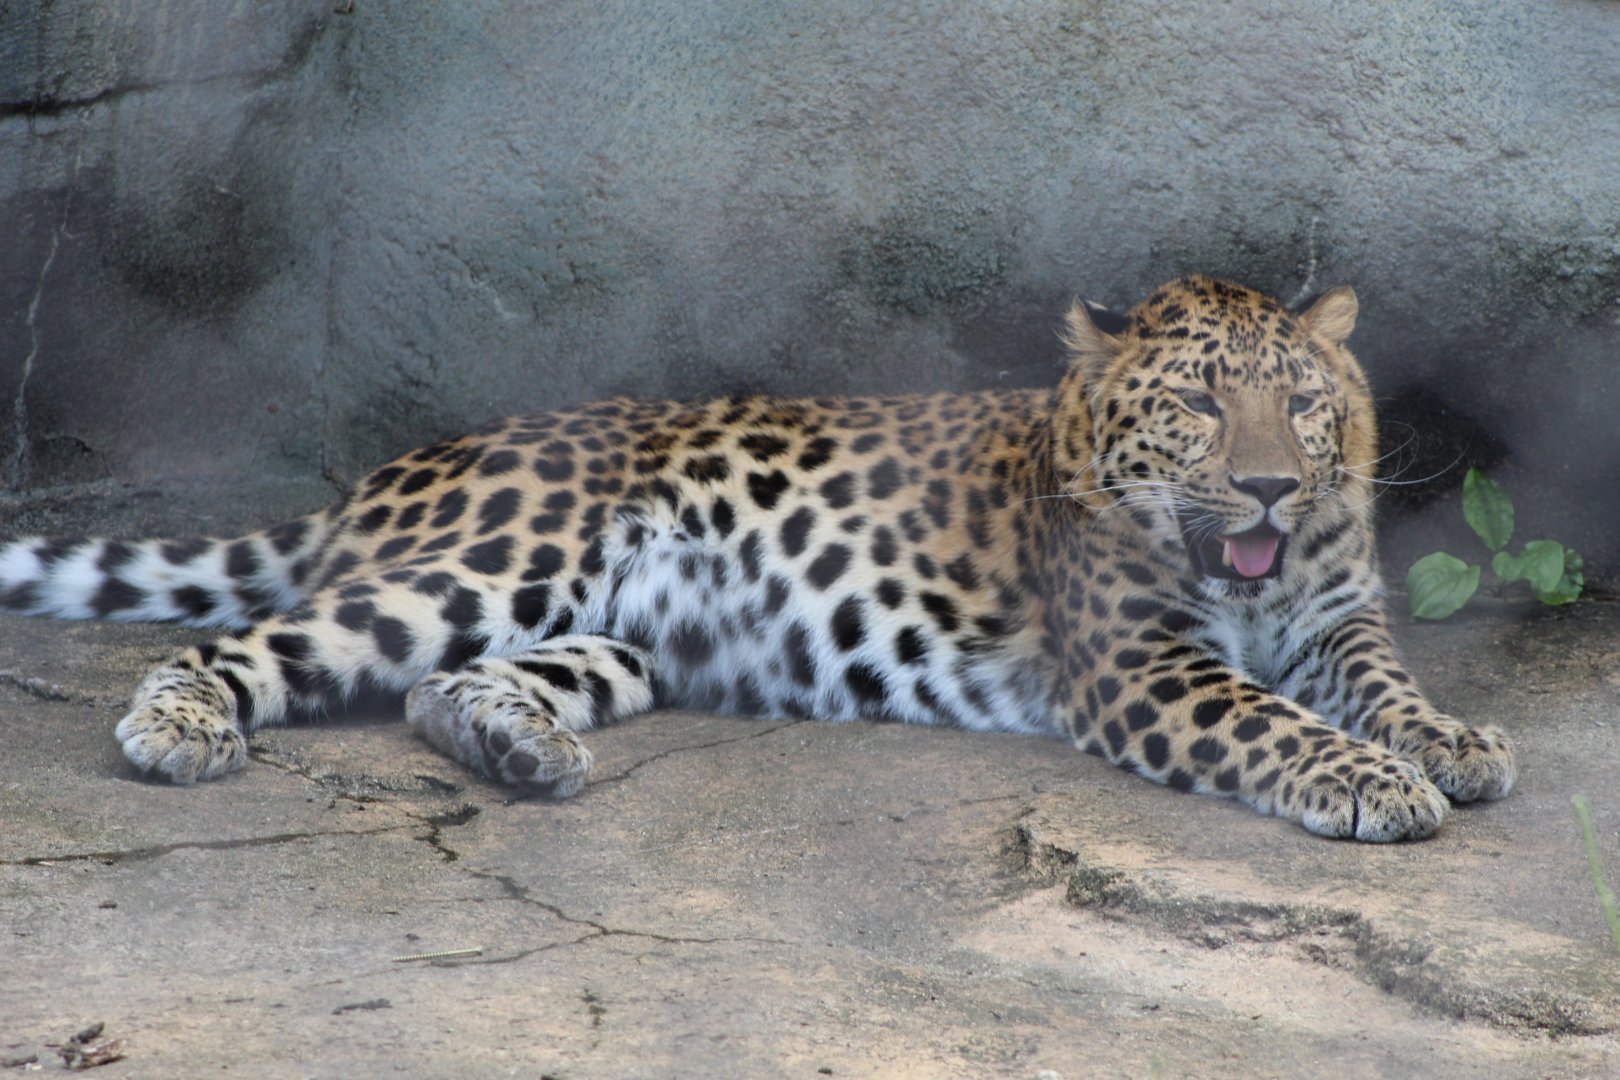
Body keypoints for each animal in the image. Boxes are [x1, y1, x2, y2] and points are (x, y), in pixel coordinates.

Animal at [0, 276, 1516, 841]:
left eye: (1302, 405)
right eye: (1200, 403)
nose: (1266, 484)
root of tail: (390, 470)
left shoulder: (1338, 620)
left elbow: (1383, 687)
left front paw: (1448, 742)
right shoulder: (1145, 665)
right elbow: (1271, 720)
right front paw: (1372, 783)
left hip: (622, 631)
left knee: (448, 685)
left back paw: (520, 749)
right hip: (498, 558)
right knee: (241, 642)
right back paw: (178, 731)